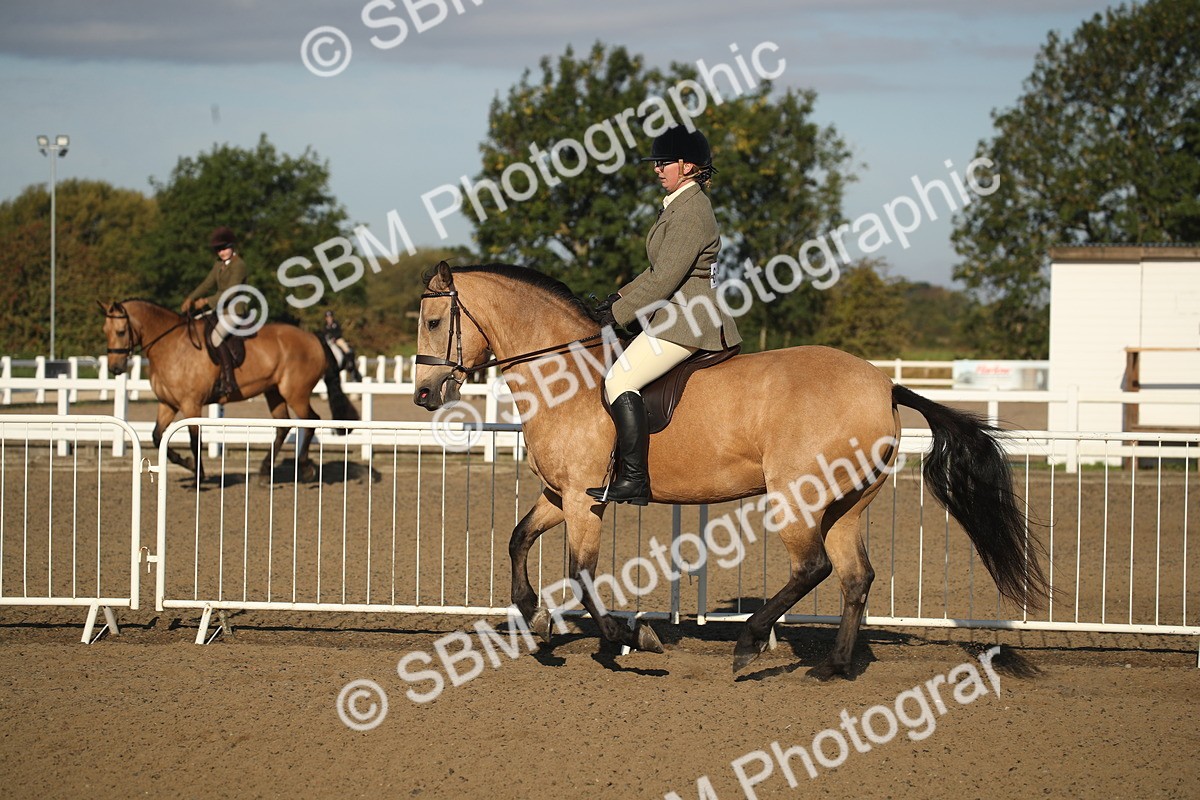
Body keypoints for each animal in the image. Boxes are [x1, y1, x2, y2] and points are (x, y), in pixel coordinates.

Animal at [99, 299, 359, 483]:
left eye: (121, 332)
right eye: (105, 331)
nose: (115, 368)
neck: (170, 345)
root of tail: (313, 337)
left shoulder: (191, 404)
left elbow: (194, 439)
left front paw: (199, 476)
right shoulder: (168, 404)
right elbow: (157, 436)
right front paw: (188, 464)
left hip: (296, 393)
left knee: (311, 420)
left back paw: (305, 468)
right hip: (273, 392)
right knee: (283, 426)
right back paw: (265, 472)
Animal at [412, 262, 1048, 679]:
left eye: (434, 321)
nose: (423, 394)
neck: (564, 375)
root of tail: (883, 383)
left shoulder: (583, 499)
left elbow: (582, 574)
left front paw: (630, 638)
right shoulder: (559, 494)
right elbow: (519, 539)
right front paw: (530, 612)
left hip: (797, 496)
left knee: (813, 567)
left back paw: (750, 643)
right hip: (847, 504)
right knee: (854, 577)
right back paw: (834, 666)